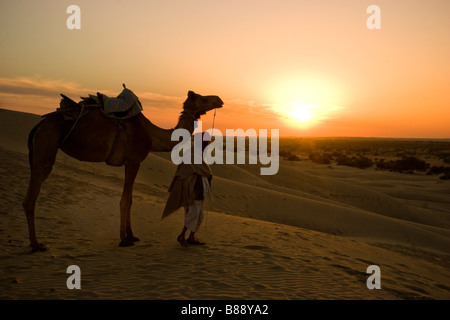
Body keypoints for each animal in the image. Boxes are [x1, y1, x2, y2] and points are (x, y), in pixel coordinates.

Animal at [22, 89, 223, 251]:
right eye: (203, 98)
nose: (219, 99)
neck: (151, 134)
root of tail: (38, 126)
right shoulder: (133, 160)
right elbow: (125, 200)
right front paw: (124, 238)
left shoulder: (131, 162)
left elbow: (131, 199)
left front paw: (132, 234)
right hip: (47, 144)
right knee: (32, 197)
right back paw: (37, 244)